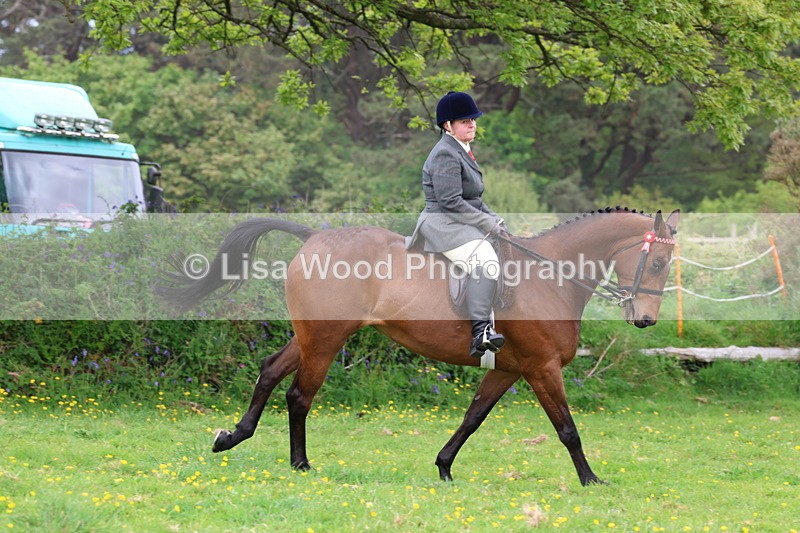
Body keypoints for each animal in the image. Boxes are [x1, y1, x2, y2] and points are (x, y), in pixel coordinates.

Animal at [162, 207, 680, 486]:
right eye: (656, 262)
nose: (646, 320)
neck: (551, 275)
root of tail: (316, 236)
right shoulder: (541, 367)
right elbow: (567, 429)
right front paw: (591, 479)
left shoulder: (508, 368)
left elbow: (472, 418)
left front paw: (444, 468)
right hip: (327, 339)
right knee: (299, 394)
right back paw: (301, 464)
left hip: (311, 335)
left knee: (271, 370)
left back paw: (232, 436)